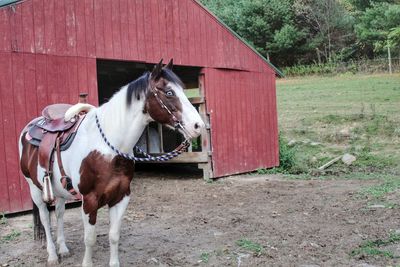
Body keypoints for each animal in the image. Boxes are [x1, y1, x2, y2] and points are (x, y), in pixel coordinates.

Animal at [17, 59, 205, 266]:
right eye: (169, 92)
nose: (199, 126)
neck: (108, 150)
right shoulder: (89, 200)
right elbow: (89, 238)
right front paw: (87, 263)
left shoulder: (121, 197)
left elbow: (114, 235)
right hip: (35, 189)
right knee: (44, 217)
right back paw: (52, 255)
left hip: (59, 190)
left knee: (58, 213)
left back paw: (63, 249)